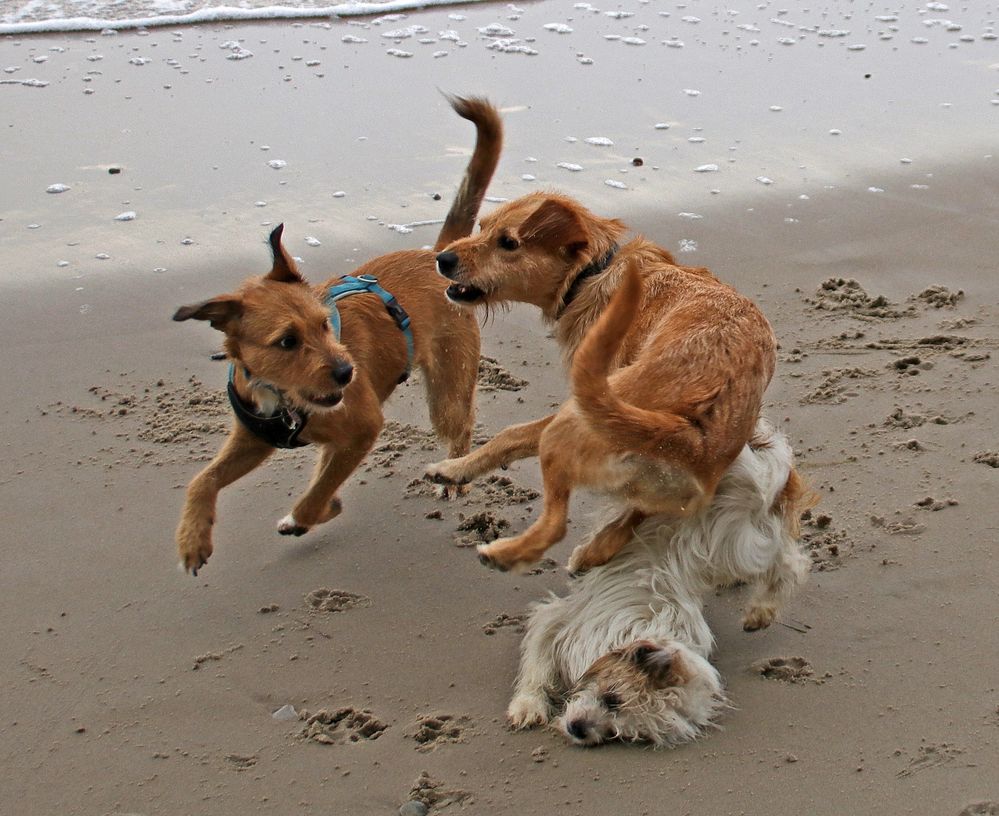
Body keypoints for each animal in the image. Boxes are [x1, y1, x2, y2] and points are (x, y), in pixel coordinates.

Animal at [172, 95, 504, 572]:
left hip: (448, 390)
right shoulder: (253, 441)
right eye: (287, 341)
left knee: (458, 431)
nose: (348, 374)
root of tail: (437, 255)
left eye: (325, 324)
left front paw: (309, 515)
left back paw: (454, 476)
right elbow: (203, 479)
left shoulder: (364, 428)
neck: (286, 398)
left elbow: (317, 494)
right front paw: (192, 539)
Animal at [426, 190, 784, 572]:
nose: (443, 258)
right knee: (635, 512)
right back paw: (597, 548)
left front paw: (454, 469)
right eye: (482, 227)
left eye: (508, 242)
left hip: (570, 424)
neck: (591, 272)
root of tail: (692, 435)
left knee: (553, 522)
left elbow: (511, 436)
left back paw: (502, 552)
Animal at [508, 424, 812, 748]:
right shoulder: (562, 621)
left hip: (742, 546)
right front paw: (527, 705)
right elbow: (538, 664)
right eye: (612, 698)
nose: (579, 729)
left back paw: (761, 611)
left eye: (622, 732)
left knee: (791, 563)